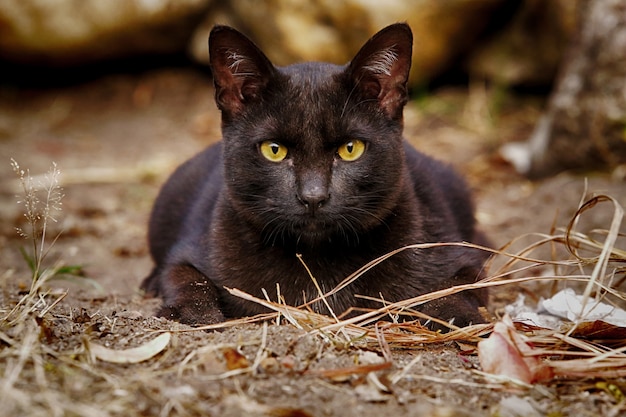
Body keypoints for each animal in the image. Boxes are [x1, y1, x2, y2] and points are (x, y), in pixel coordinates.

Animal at [141, 22, 488, 326]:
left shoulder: (461, 255)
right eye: (274, 150)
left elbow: (459, 287)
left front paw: (455, 315)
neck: (316, 260)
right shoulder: (190, 250)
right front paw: (190, 313)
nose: (313, 196)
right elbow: (187, 279)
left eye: (351, 148)